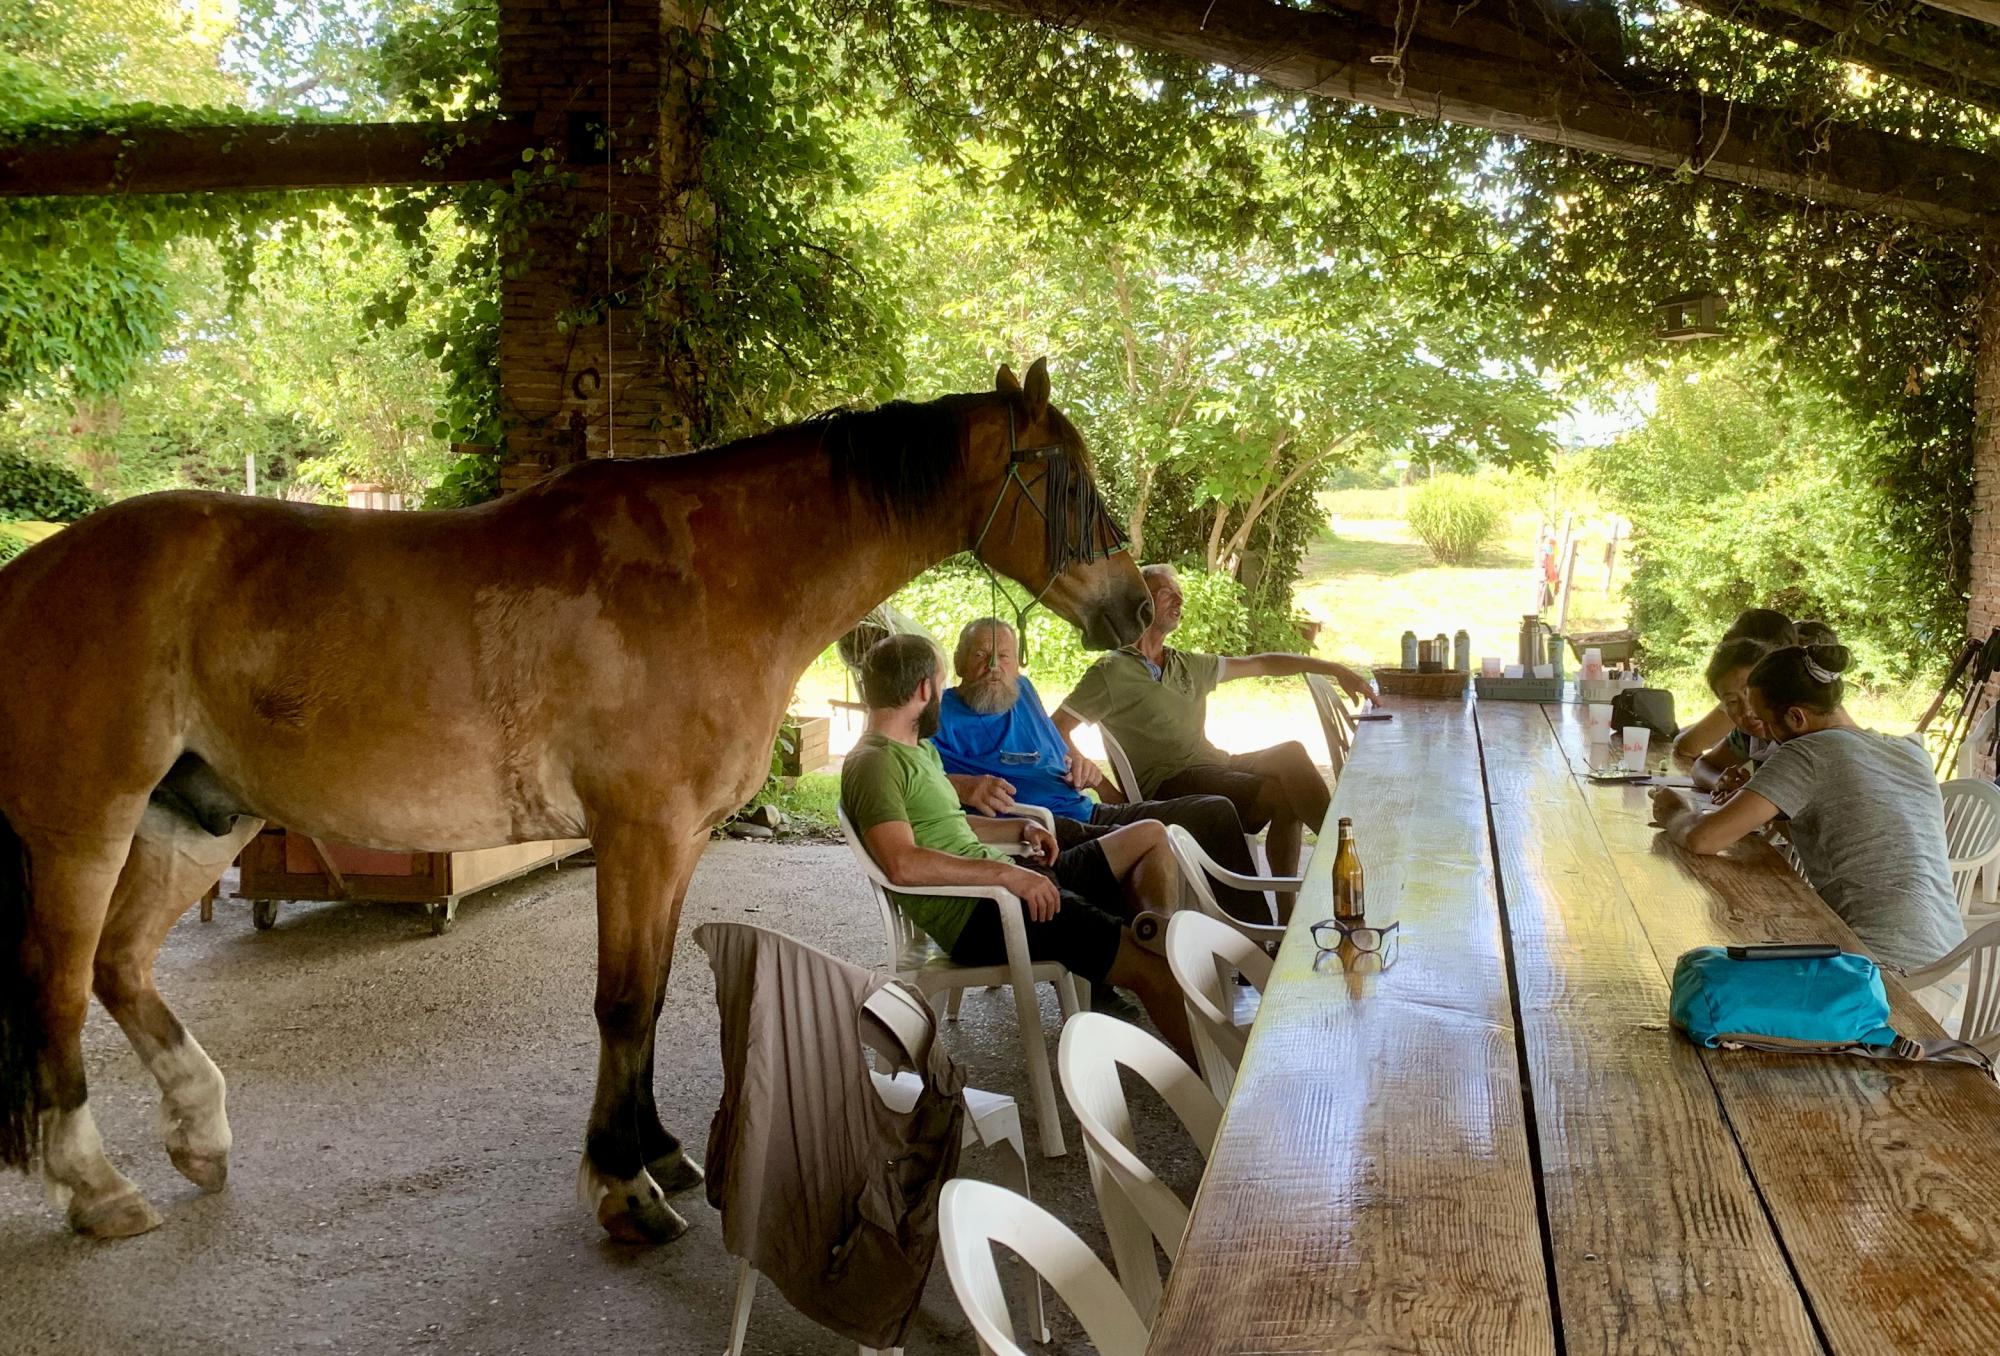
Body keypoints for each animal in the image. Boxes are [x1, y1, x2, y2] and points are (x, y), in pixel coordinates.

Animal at [0, 358, 1152, 1240]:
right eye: (1065, 477)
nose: (1136, 608)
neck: (713, 576)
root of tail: (33, 572)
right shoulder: (639, 834)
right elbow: (623, 1001)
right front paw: (624, 1187)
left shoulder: (679, 843)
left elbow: (651, 992)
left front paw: (660, 1153)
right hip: (87, 830)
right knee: (61, 989)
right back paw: (97, 1189)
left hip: (197, 821)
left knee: (120, 968)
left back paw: (200, 1134)